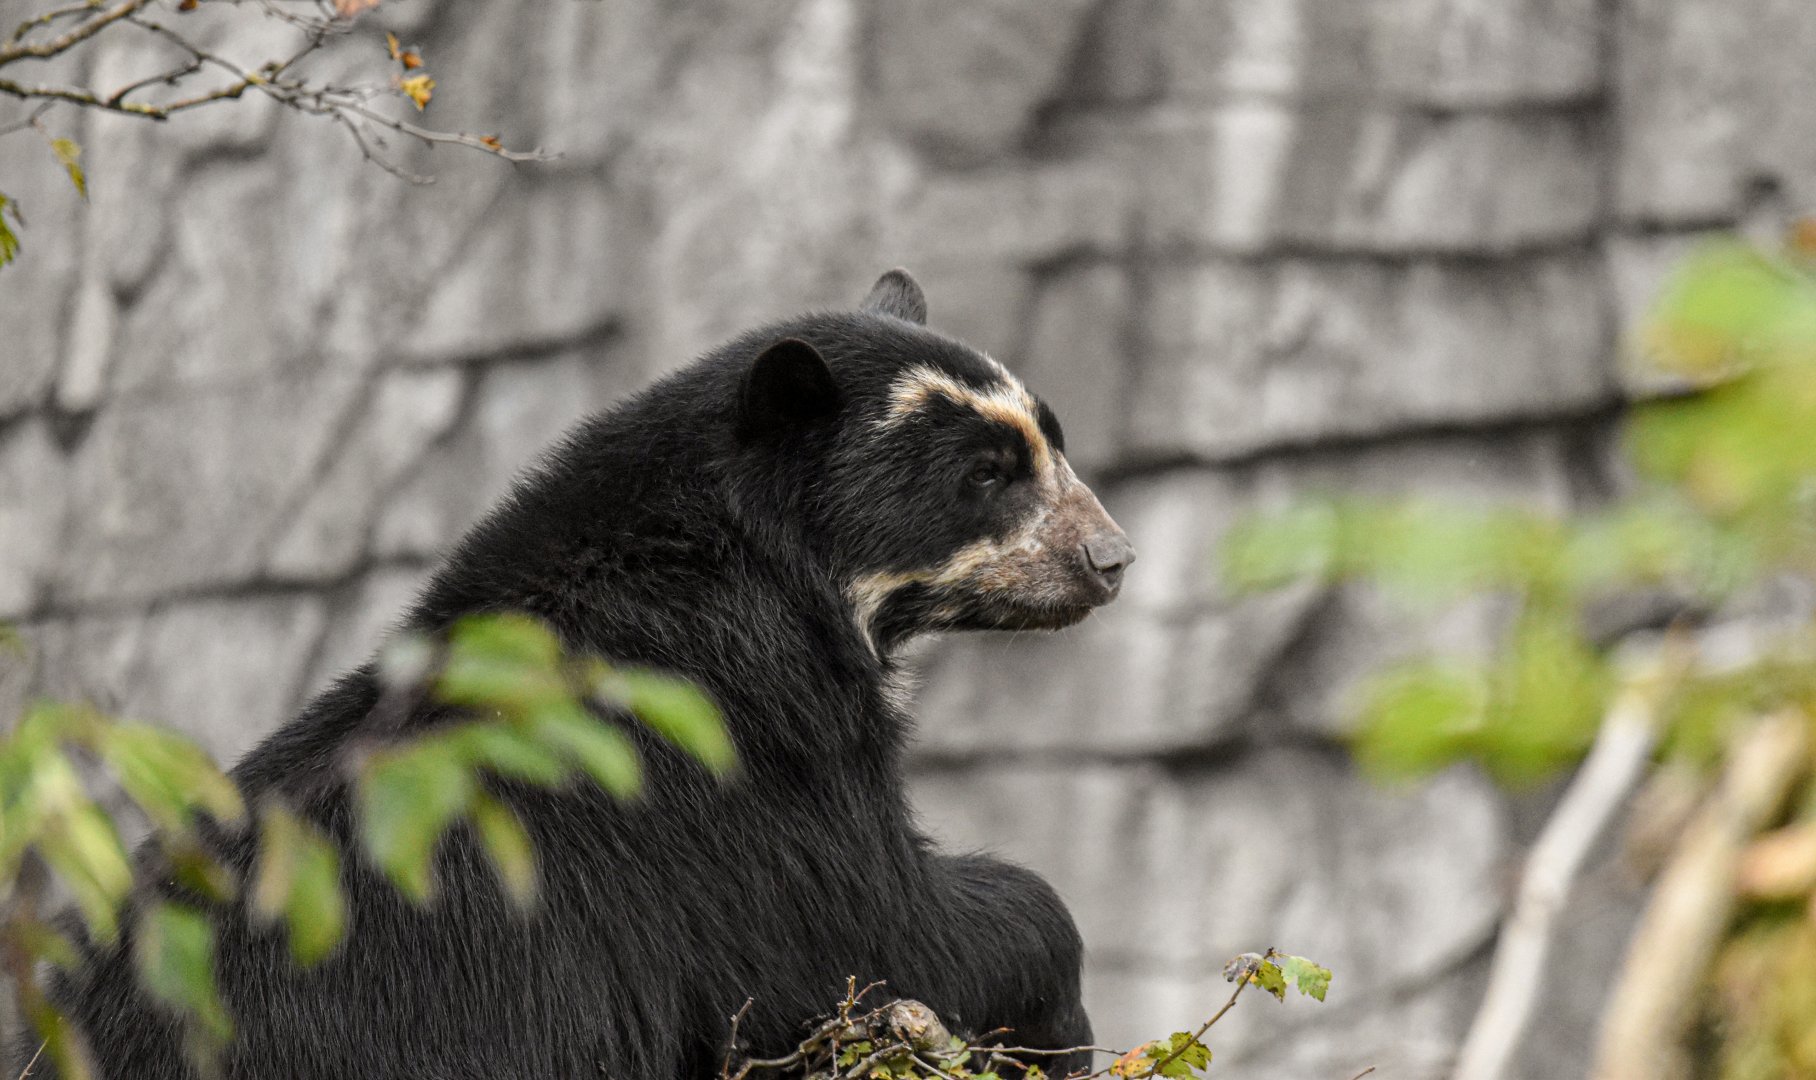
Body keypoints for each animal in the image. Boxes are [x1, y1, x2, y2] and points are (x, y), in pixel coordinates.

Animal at [36, 269, 1135, 1079]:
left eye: (1053, 441)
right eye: (984, 475)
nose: (1111, 558)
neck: (759, 574)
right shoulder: (733, 757)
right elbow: (871, 928)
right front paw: (1063, 1023)